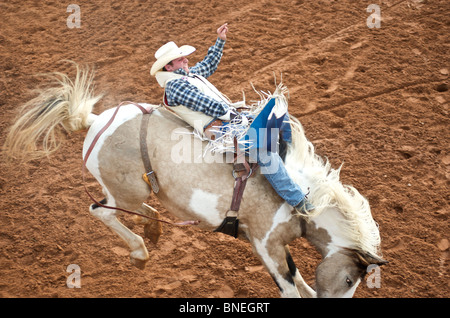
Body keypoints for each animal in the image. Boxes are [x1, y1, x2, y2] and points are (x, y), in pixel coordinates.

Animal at [3, 64, 386, 298]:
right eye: (349, 278)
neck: (302, 198)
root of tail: (96, 121)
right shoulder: (266, 243)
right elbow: (290, 286)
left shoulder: (272, 244)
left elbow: (300, 280)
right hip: (126, 192)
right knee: (102, 211)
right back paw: (140, 250)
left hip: (133, 190)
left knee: (135, 209)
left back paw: (154, 229)